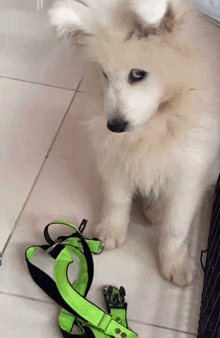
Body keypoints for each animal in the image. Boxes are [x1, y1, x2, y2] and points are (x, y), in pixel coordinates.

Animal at [49, 0, 220, 286]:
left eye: (138, 74)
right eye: (104, 74)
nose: (115, 126)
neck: (154, 123)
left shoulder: (189, 172)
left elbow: (176, 226)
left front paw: (174, 263)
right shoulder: (114, 155)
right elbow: (116, 199)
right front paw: (110, 231)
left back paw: (156, 209)